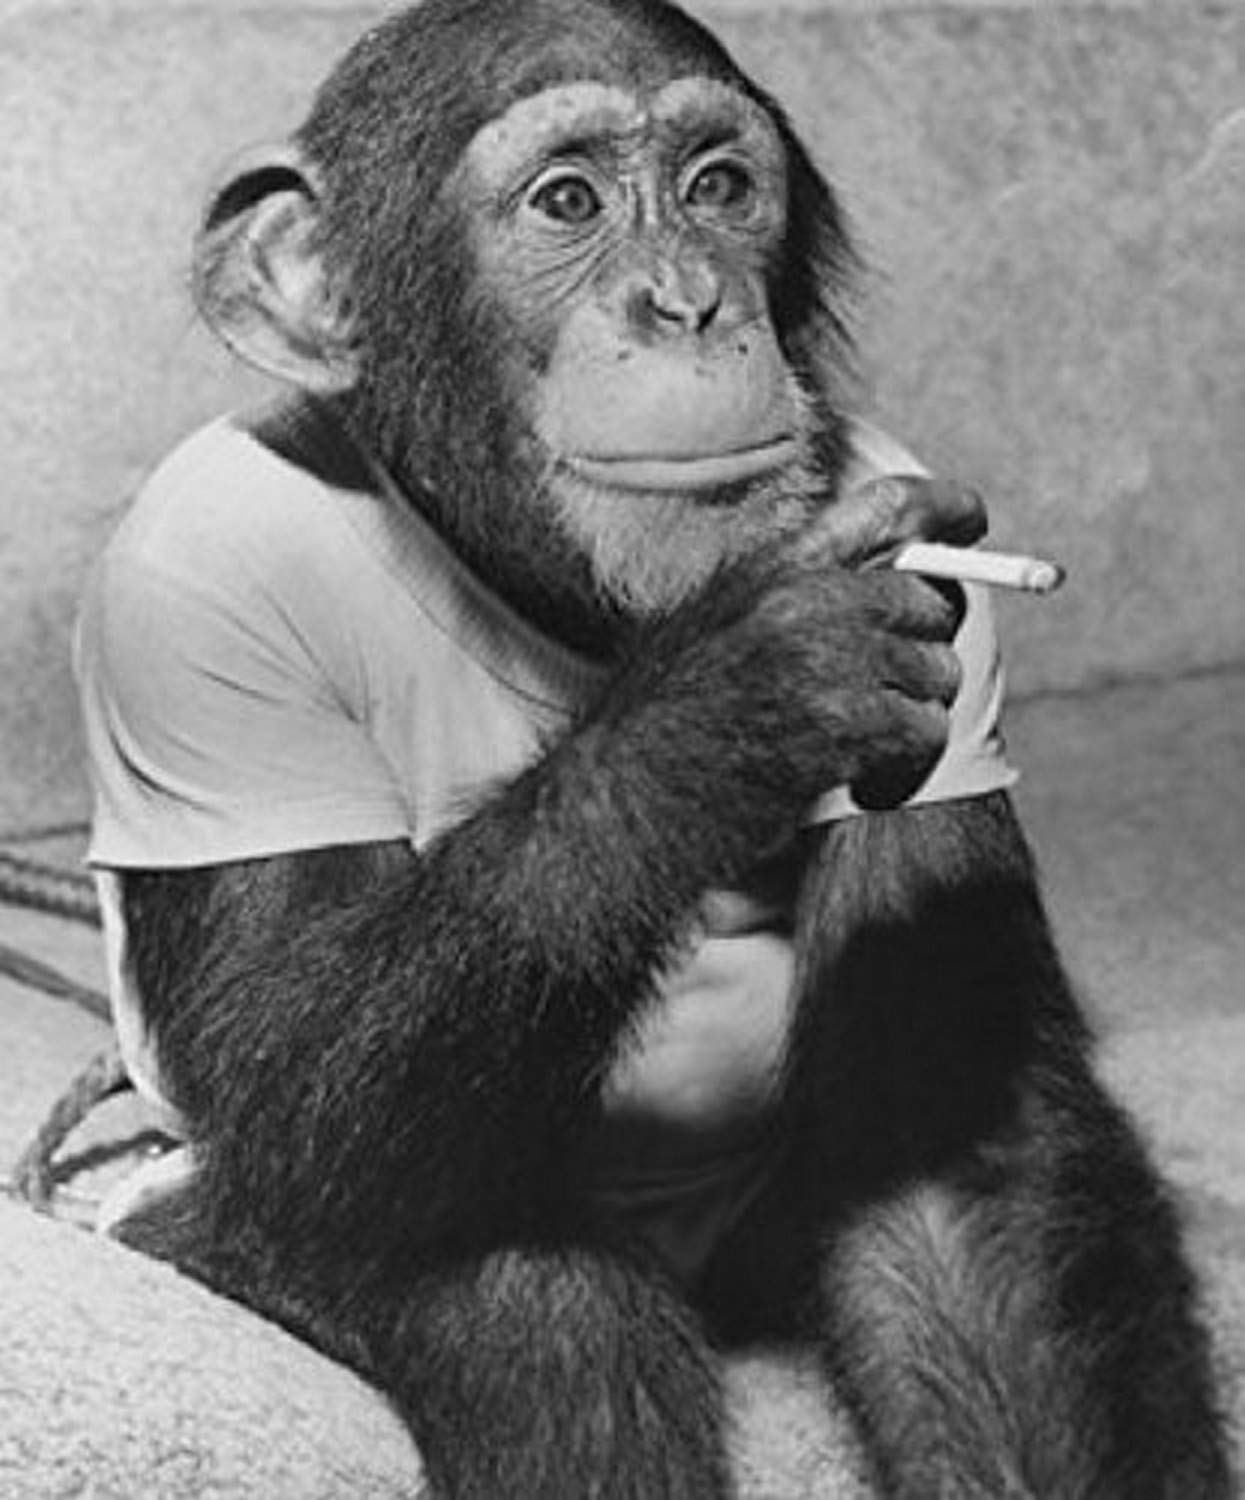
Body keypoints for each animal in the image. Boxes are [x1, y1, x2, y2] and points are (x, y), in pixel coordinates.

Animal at [72, 0, 1230, 1495]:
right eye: (567, 201)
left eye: (719, 188)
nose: (687, 302)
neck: (530, 577)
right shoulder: (192, 590)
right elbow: (290, 1083)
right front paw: (729, 700)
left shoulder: (935, 580)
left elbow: (961, 1157)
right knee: (514, 1275)